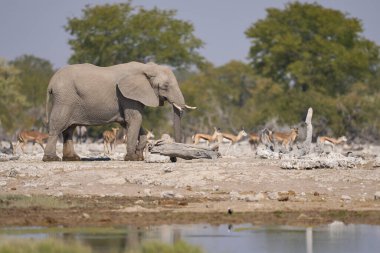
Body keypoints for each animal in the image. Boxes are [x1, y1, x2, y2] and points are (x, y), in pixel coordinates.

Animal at [43, 60, 194, 162]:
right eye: (165, 86)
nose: (173, 159)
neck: (146, 67)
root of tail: (51, 81)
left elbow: (132, 122)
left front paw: (139, 155)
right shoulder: (126, 95)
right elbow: (135, 119)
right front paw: (132, 158)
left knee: (69, 129)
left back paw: (72, 158)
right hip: (65, 98)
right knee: (58, 125)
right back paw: (51, 159)